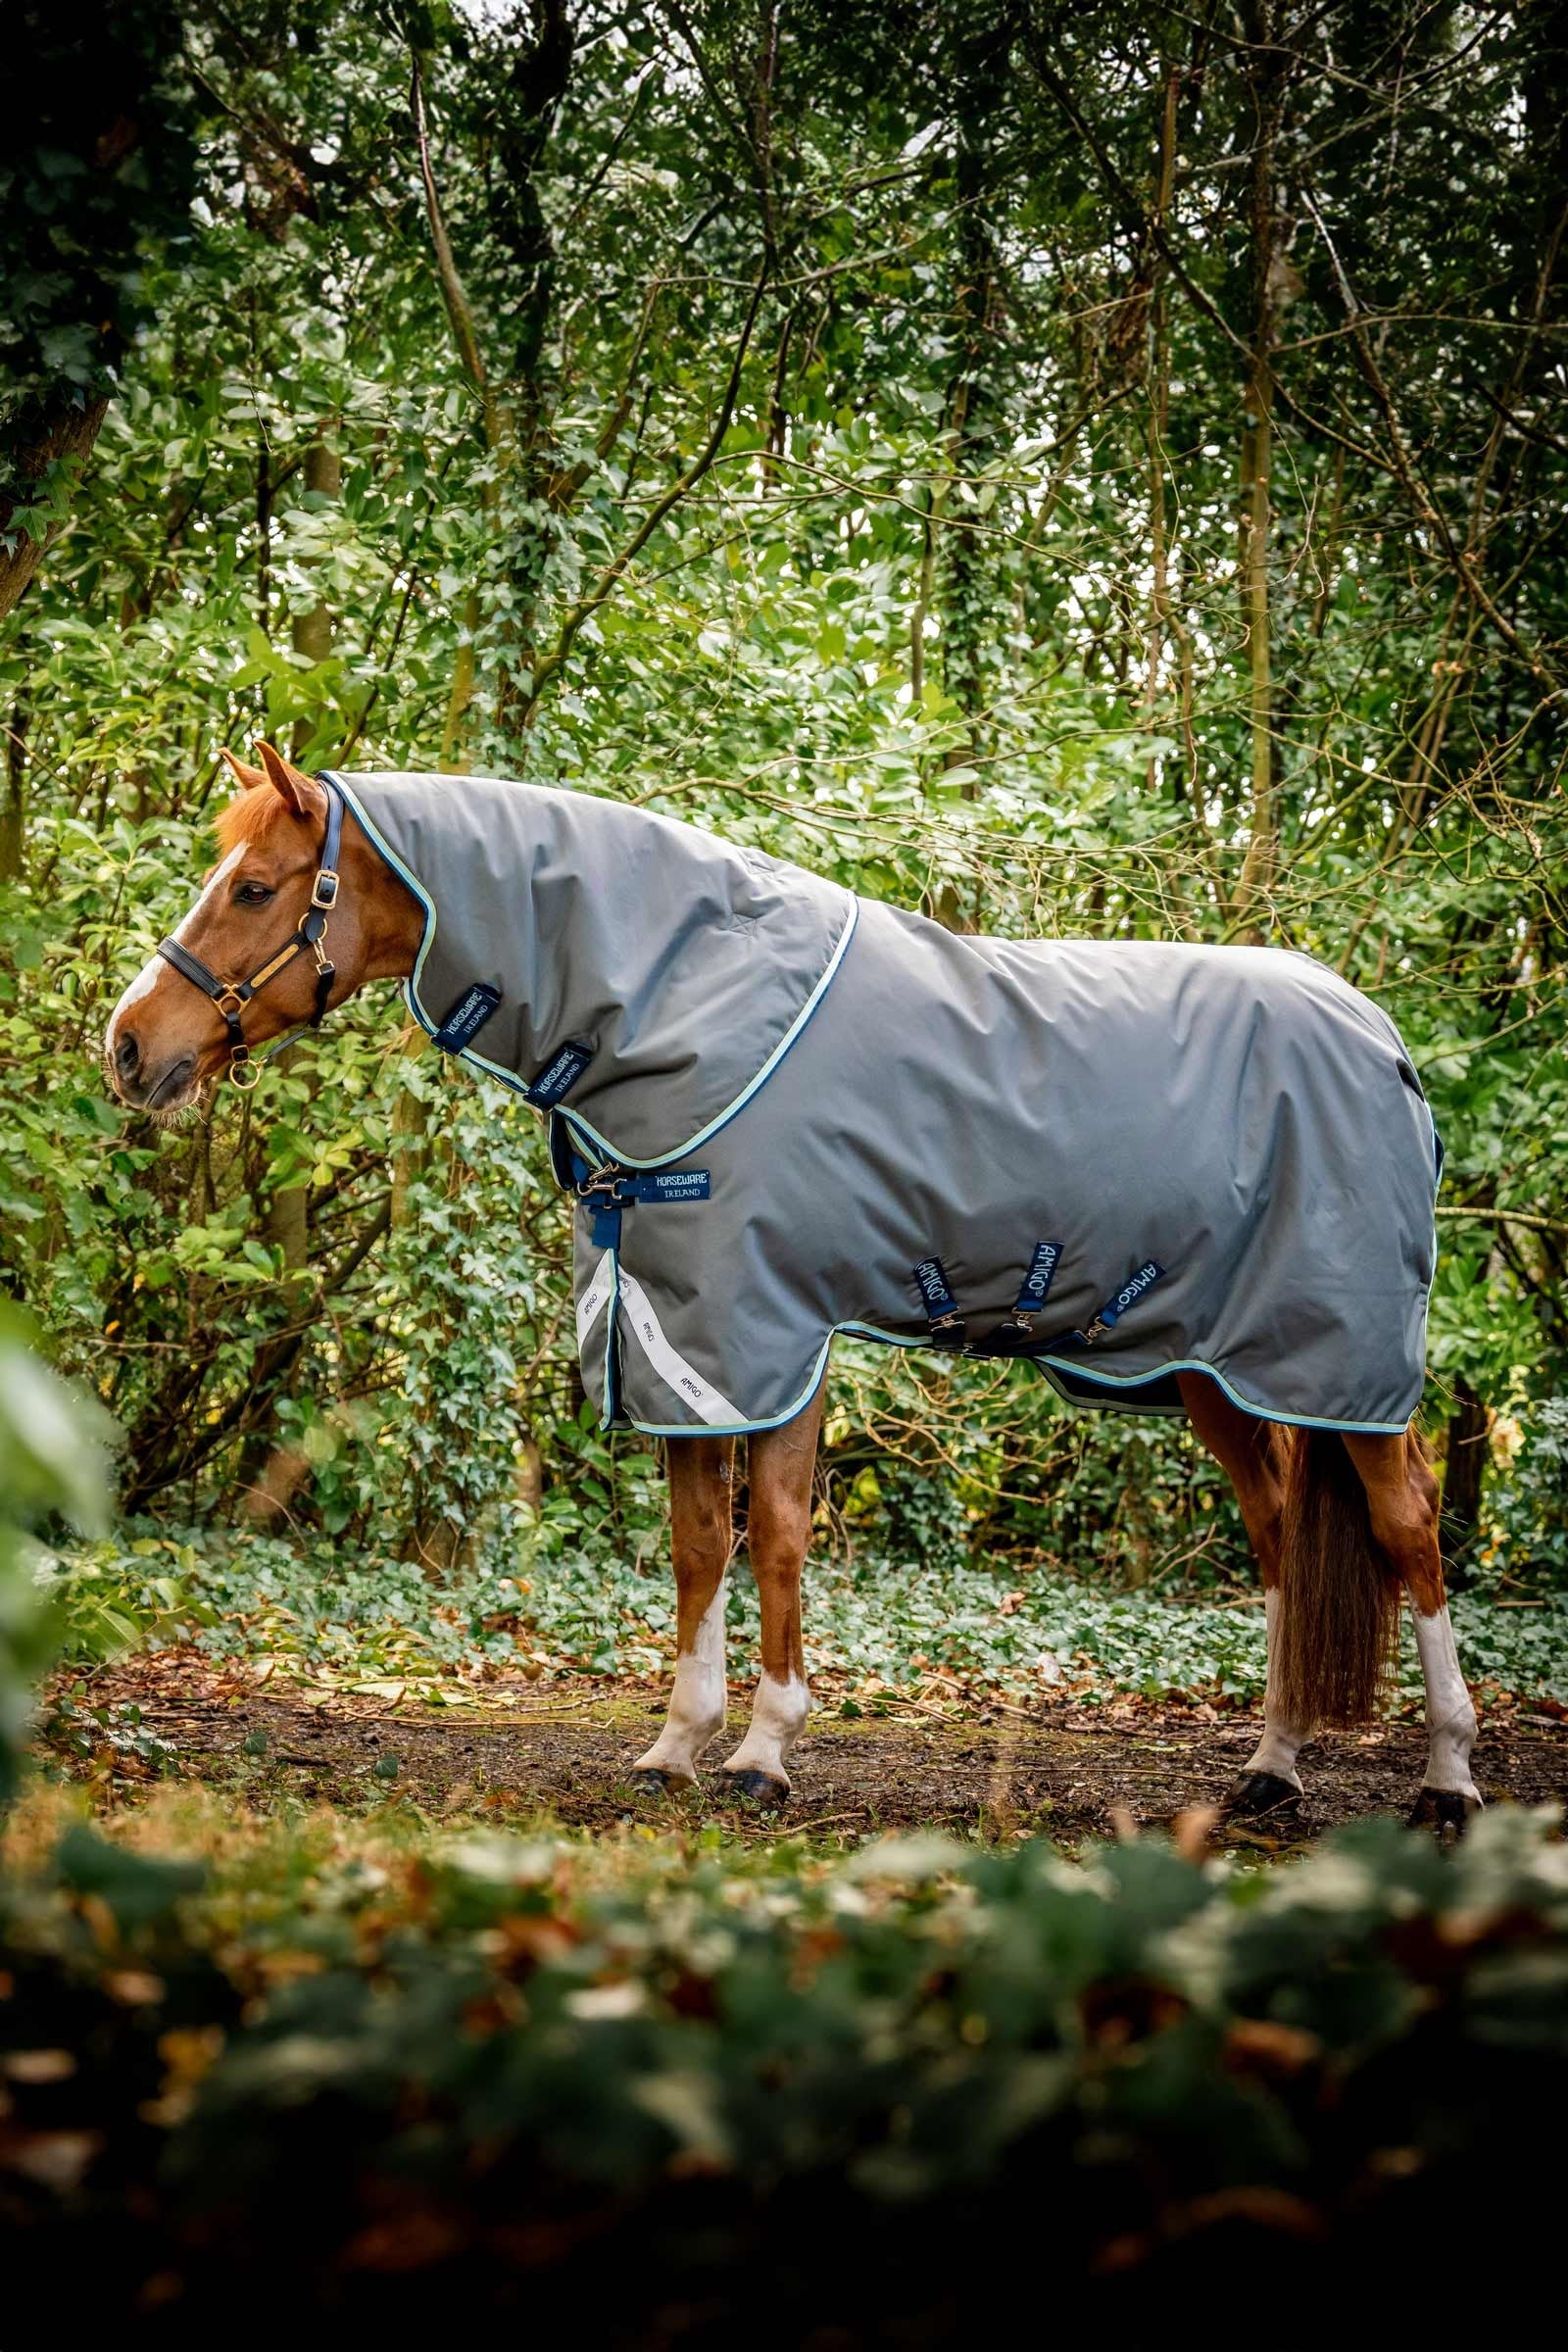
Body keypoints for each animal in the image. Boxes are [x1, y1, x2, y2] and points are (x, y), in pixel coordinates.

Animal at [103, 741, 1480, 1832]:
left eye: (256, 887)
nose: (126, 1046)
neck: (687, 1008)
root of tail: (1383, 1041)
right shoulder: (680, 1344)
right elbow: (694, 1549)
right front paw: (675, 1744)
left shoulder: (772, 1336)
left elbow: (770, 1538)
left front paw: (765, 1752)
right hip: (1221, 1371)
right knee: (1280, 1537)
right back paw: (1272, 1771)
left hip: (1344, 1364)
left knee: (1408, 1530)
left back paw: (1448, 1779)